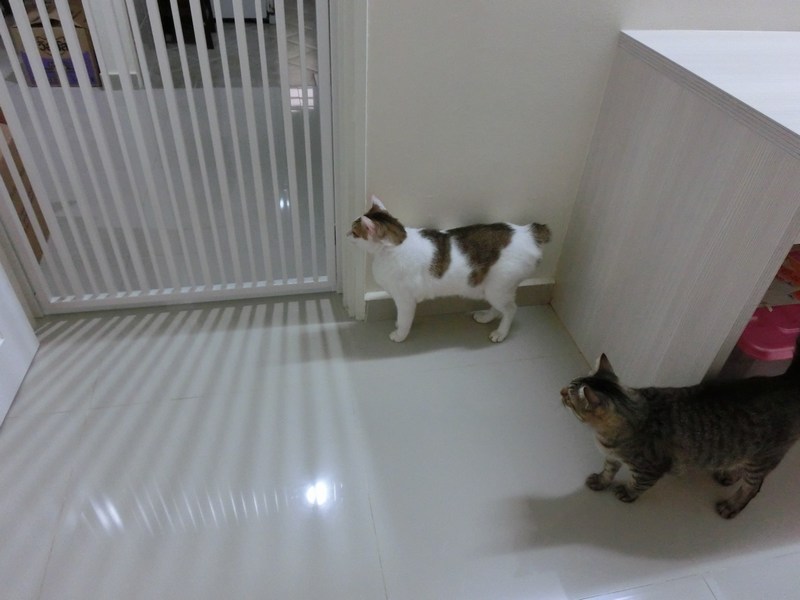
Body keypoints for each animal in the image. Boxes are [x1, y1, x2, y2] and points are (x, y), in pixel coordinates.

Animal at [347, 195, 550, 342]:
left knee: (510, 309)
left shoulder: (405, 300)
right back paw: (486, 317)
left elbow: (405, 319)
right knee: (500, 308)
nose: (346, 233)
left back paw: (500, 333)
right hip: (494, 288)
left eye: (355, 232)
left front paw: (399, 335)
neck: (397, 245)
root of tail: (527, 232)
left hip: (498, 287)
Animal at [560, 340, 800, 519]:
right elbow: (608, 471)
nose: (560, 391)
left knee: (754, 487)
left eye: (570, 398)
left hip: (762, 459)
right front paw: (601, 481)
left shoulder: (649, 469)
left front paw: (627, 493)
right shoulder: (612, 457)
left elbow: (637, 484)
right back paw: (729, 475)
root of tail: (787, 380)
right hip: (748, 452)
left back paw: (731, 506)